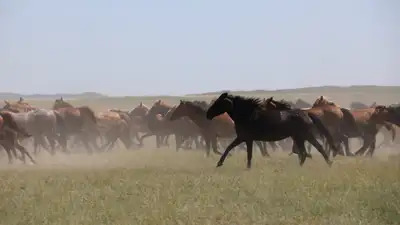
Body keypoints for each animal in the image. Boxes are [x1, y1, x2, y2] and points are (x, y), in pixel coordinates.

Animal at [208, 92, 336, 168]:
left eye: (218, 103)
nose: (207, 114)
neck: (247, 116)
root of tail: (306, 113)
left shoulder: (245, 138)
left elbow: (238, 150)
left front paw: (220, 163)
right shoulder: (245, 139)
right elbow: (236, 150)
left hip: (305, 135)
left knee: (315, 149)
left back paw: (327, 164)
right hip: (299, 137)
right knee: (306, 152)